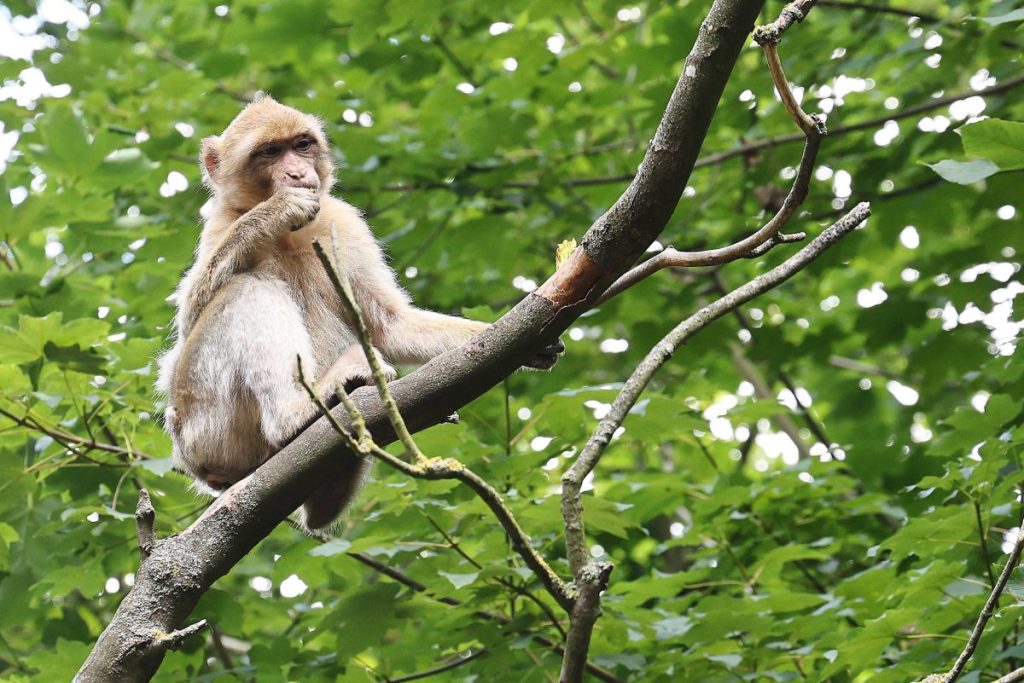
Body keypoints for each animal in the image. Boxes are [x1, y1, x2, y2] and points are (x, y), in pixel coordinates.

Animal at [155, 94, 565, 528]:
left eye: (301, 145)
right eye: (270, 152)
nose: (297, 172)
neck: (293, 236)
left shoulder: (342, 220)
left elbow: (389, 324)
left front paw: (530, 342)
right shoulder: (221, 223)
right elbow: (188, 322)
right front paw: (274, 212)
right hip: (202, 423)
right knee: (248, 289)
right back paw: (295, 415)